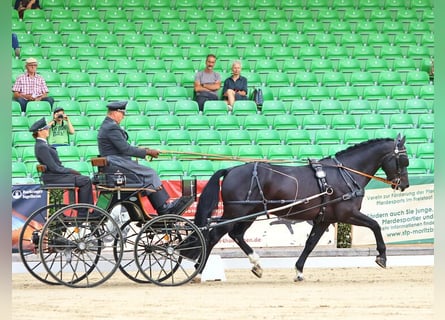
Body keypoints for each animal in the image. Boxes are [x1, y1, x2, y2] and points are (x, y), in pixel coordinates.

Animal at [193, 136, 408, 282]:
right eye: (403, 160)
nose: (404, 184)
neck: (345, 173)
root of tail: (231, 170)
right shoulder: (347, 214)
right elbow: (375, 225)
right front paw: (382, 257)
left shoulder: (325, 219)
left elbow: (310, 244)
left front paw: (299, 271)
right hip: (236, 212)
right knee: (214, 235)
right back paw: (198, 271)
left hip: (249, 213)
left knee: (236, 235)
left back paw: (256, 265)